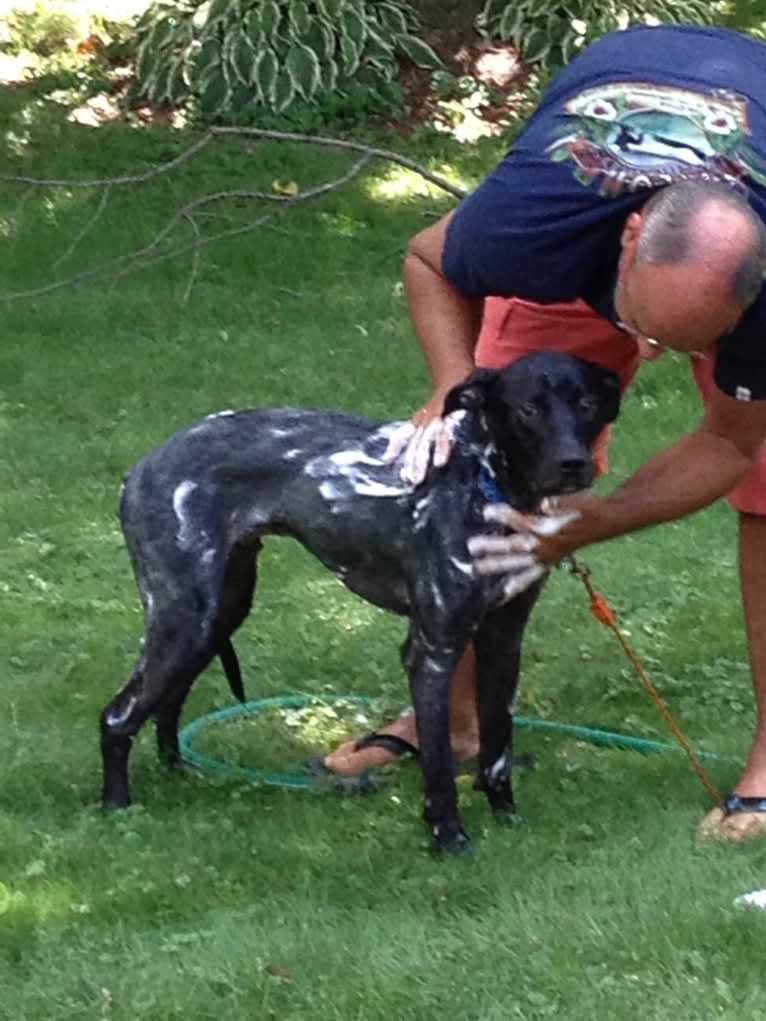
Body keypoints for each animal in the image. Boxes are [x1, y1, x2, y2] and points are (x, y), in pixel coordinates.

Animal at [102, 351, 620, 853]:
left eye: (586, 404)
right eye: (528, 409)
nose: (574, 464)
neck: (486, 486)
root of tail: (142, 467)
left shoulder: (503, 643)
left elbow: (497, 754)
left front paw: (505, 817)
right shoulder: (431, 653)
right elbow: (438, 769)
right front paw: (449, 839)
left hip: (214, 619)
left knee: (166, 703)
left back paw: (179, 772)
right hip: (184, 621)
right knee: (118, 717)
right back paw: (115, 805)